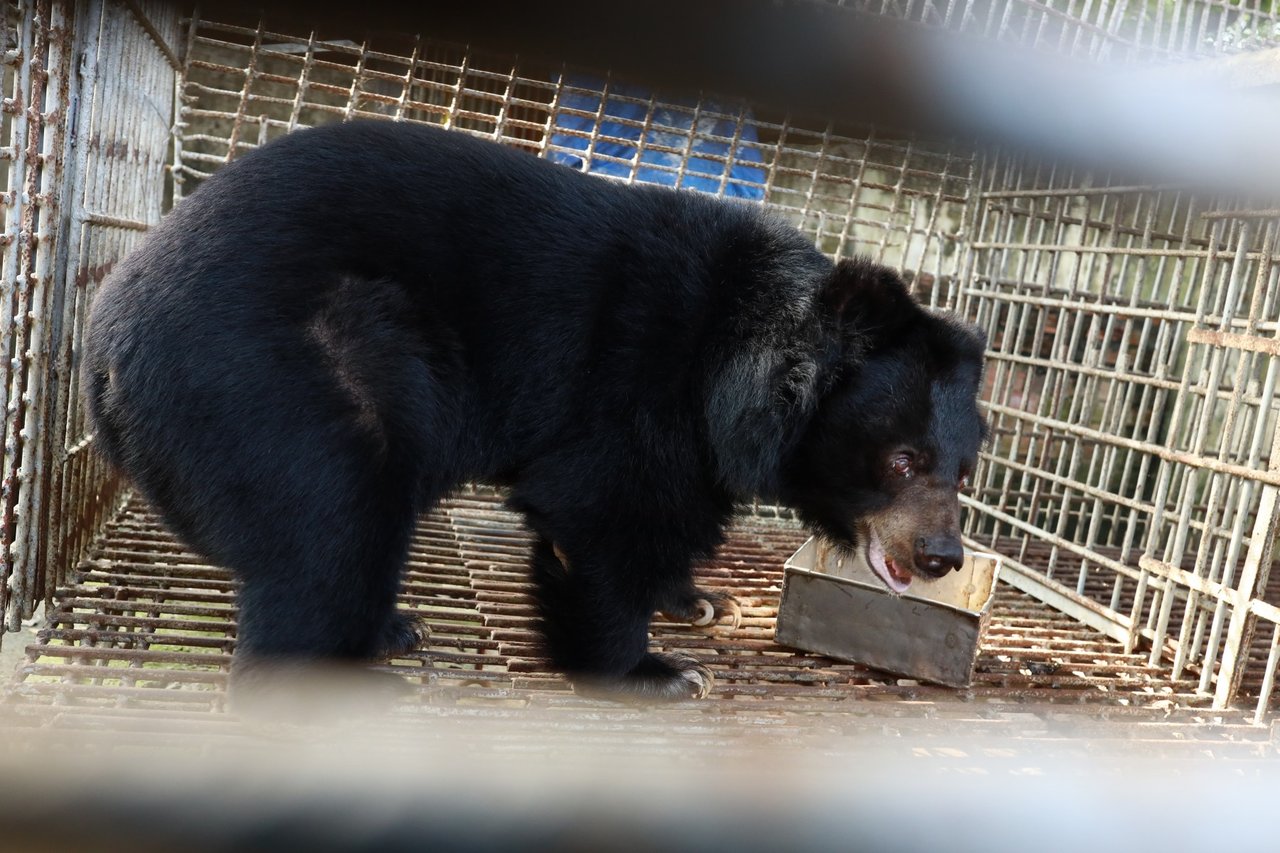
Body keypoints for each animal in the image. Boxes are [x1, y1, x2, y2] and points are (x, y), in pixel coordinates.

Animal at [87, 122, 988, 701]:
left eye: (964, 471)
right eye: (900, 459)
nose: (941, 554)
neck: (742, 359)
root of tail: (103, 350)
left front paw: (695, 600)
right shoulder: (639, 385)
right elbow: (599, 508)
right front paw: (657, 671)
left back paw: (389, 630)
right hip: (284, 382)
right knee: (327, 531)